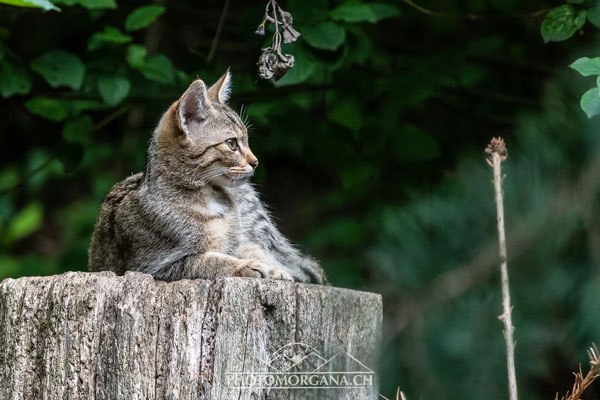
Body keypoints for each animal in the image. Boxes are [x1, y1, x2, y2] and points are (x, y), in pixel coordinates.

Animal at [86, 69, 326, 284]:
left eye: (246, 141)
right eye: (232, 143)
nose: (255, 161)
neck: (210, 198)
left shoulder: (240, 241)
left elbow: (250, 248)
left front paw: (271, 267)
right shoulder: (152, 266)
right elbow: (209, 261)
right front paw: (249, 266)